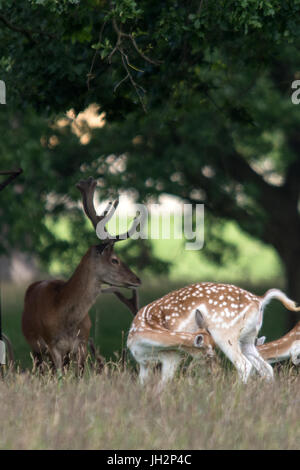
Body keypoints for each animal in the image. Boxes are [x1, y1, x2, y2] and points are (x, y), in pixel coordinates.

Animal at [127, 282, 300, 386]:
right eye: (207, 352)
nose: (216, 371)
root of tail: (260, 300)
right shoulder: (143, 364)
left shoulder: (172, 355)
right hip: (248, 339)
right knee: (266, 368)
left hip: (225, 333)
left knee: (244, 365)